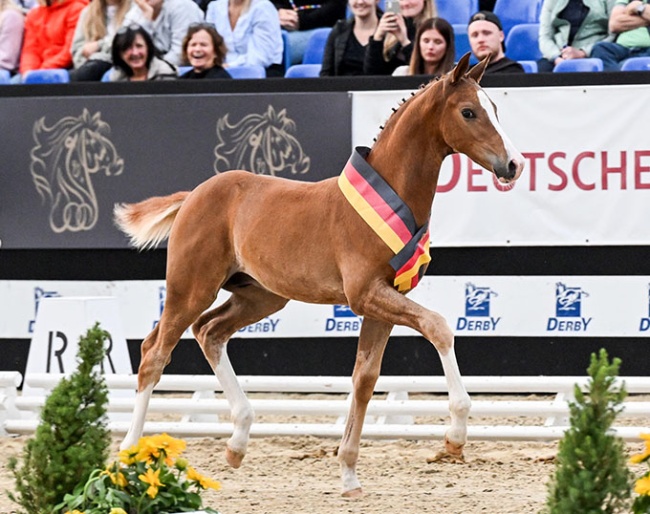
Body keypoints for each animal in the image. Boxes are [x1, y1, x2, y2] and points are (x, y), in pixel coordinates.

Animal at [114, 53, 525, 497]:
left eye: (495, 108)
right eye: (468, 112)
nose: (514, 164)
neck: (392, 196)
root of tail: (193, 195)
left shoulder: (381, 301)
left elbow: (365, 378)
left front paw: (348, 475)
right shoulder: (365, 294)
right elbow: (439, 327)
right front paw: (455, 435)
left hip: (261, 295)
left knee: (210, 331)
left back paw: (237, 442)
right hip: (191, 287)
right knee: (155, 352)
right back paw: (129, 452)